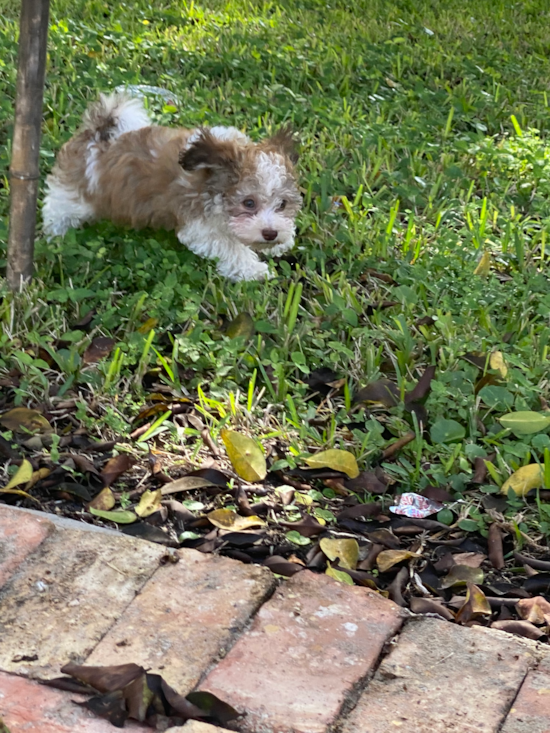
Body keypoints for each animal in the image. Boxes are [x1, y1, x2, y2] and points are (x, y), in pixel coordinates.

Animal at [42, 93, 302, 280]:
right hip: (75, 196)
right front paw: (254, 270)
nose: (270, 233)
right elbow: (230, 246)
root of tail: (96, 133)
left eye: (282, 204)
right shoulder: (198, 224)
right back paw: (55, 236)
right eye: (248, 203)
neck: (213, 178)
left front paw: (281, 242)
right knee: (57, 208)